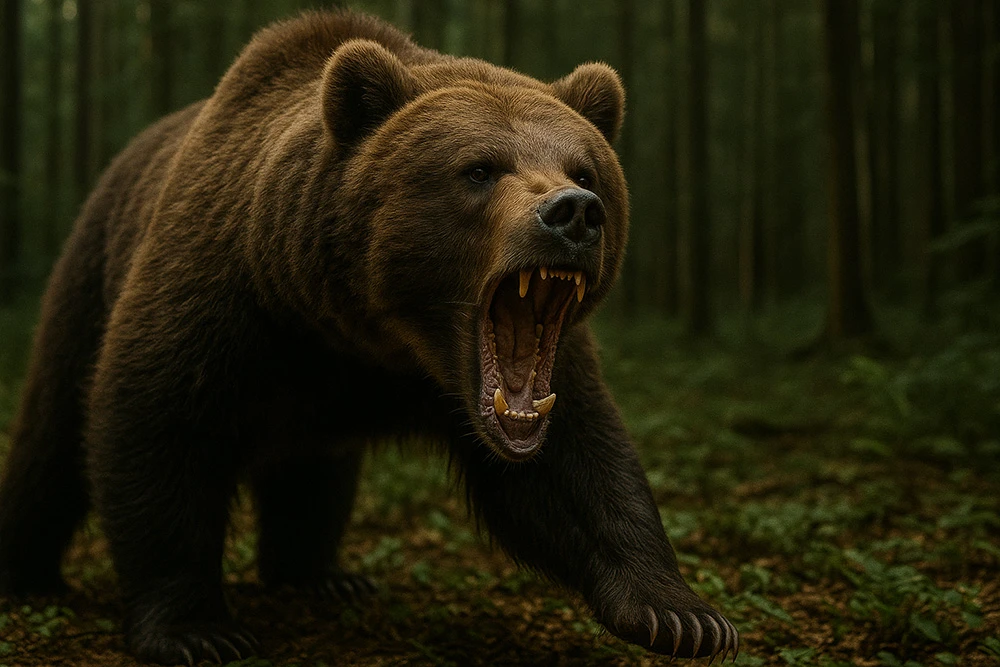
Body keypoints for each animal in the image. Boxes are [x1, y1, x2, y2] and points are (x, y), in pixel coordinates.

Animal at [0, 9, 738, 665]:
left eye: (585, 170)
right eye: (479, 168)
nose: (575, 213)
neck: (362, 330)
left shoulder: (518, 373)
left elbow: (578, 461)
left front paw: (682, 615)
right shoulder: (225, 297)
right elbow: (158, 427)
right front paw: (195, 630)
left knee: (314, 475)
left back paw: (322, 574)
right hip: (89, 272)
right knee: (51, 437)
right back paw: (25, 569)